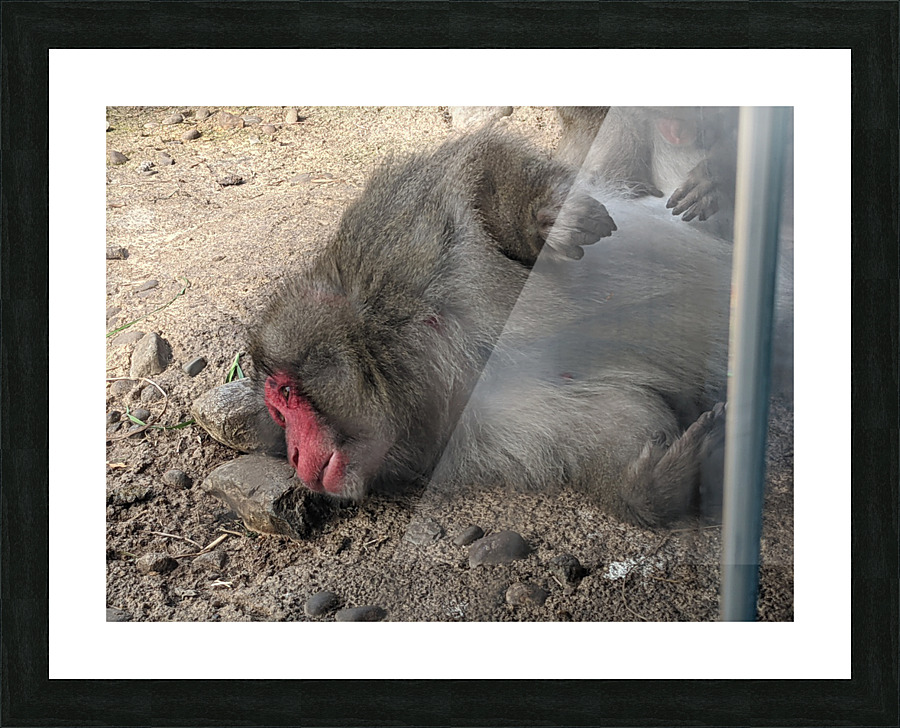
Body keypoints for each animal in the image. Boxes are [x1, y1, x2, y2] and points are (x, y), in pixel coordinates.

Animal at [248, 127, 733, 528]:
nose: (294, 455)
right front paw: (661, 482)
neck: (407, 358)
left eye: (286, 394)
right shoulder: (488, 420)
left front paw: (538, 220)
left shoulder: (400, 238)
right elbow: (613, 418)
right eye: (279, 415)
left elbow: (479, 163)